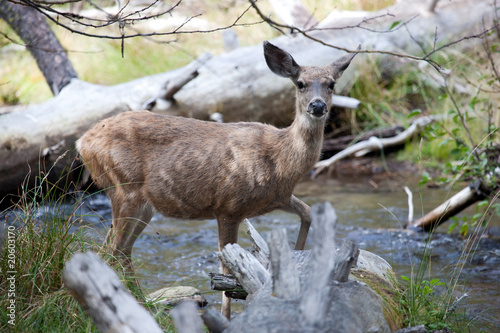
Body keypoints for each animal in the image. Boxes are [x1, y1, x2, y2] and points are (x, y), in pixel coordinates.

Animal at [76, 40, 358, 316]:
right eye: (300, 83)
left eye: (331, 83)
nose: (317, 106)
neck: (279, 160)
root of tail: (82, 142)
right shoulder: (228, 207)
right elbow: (227, 270)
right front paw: (226, 316)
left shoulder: (279, 197)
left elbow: (308, 212)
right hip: (124, 187)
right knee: (113, 250)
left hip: (143, 204)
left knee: (119, 250)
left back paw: (141, 303)